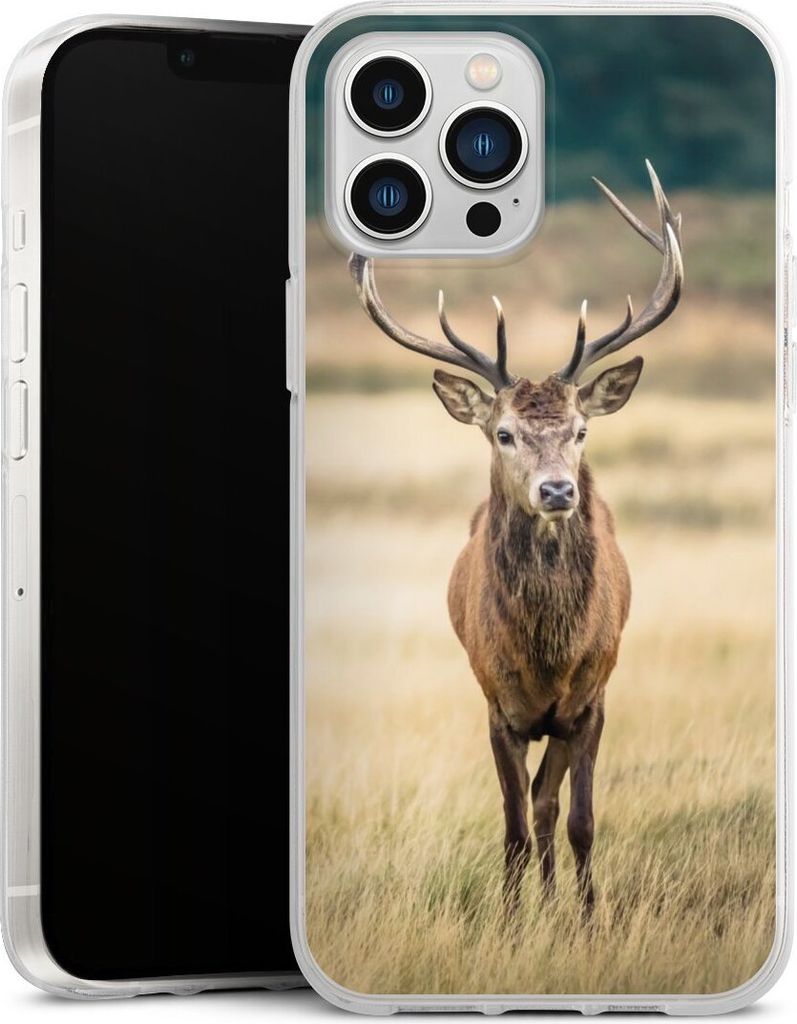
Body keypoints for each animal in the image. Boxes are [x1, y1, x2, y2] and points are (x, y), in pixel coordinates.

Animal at [348, 161, 683, 916]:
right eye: (503, 433)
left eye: (581, 431)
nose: (557, 491)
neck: (546, 656)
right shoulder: (496, 704)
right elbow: (511, 827)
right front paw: (508, 919)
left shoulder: (590, 700)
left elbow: (577, 819)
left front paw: (586, 918)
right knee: (530, 808)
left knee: (548, 803)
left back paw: (557, 900)